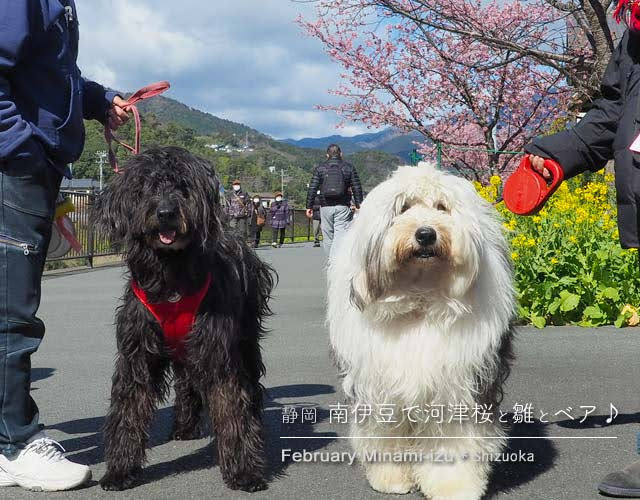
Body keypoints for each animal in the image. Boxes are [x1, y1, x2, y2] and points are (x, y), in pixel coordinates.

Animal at [93, 146, 276, 492]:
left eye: (183, 186)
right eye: (146, 186)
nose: (165, 212)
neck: (171, 278)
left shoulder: (217, 348)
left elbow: (231, 405)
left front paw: (244, 470)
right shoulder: (137, 351)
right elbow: (128, 407)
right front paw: (121, 470)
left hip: (245, 337)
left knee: (248, 383)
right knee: (187, 381)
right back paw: (185, 426)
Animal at [328, 165, 516, 500]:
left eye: (442, 207)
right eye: (403, 207)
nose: (426, 234)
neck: (420, 299)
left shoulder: (459, 387)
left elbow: (454, 441)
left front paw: (455, 487)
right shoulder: (379, 388)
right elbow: (386, 434)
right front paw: (391, 479)